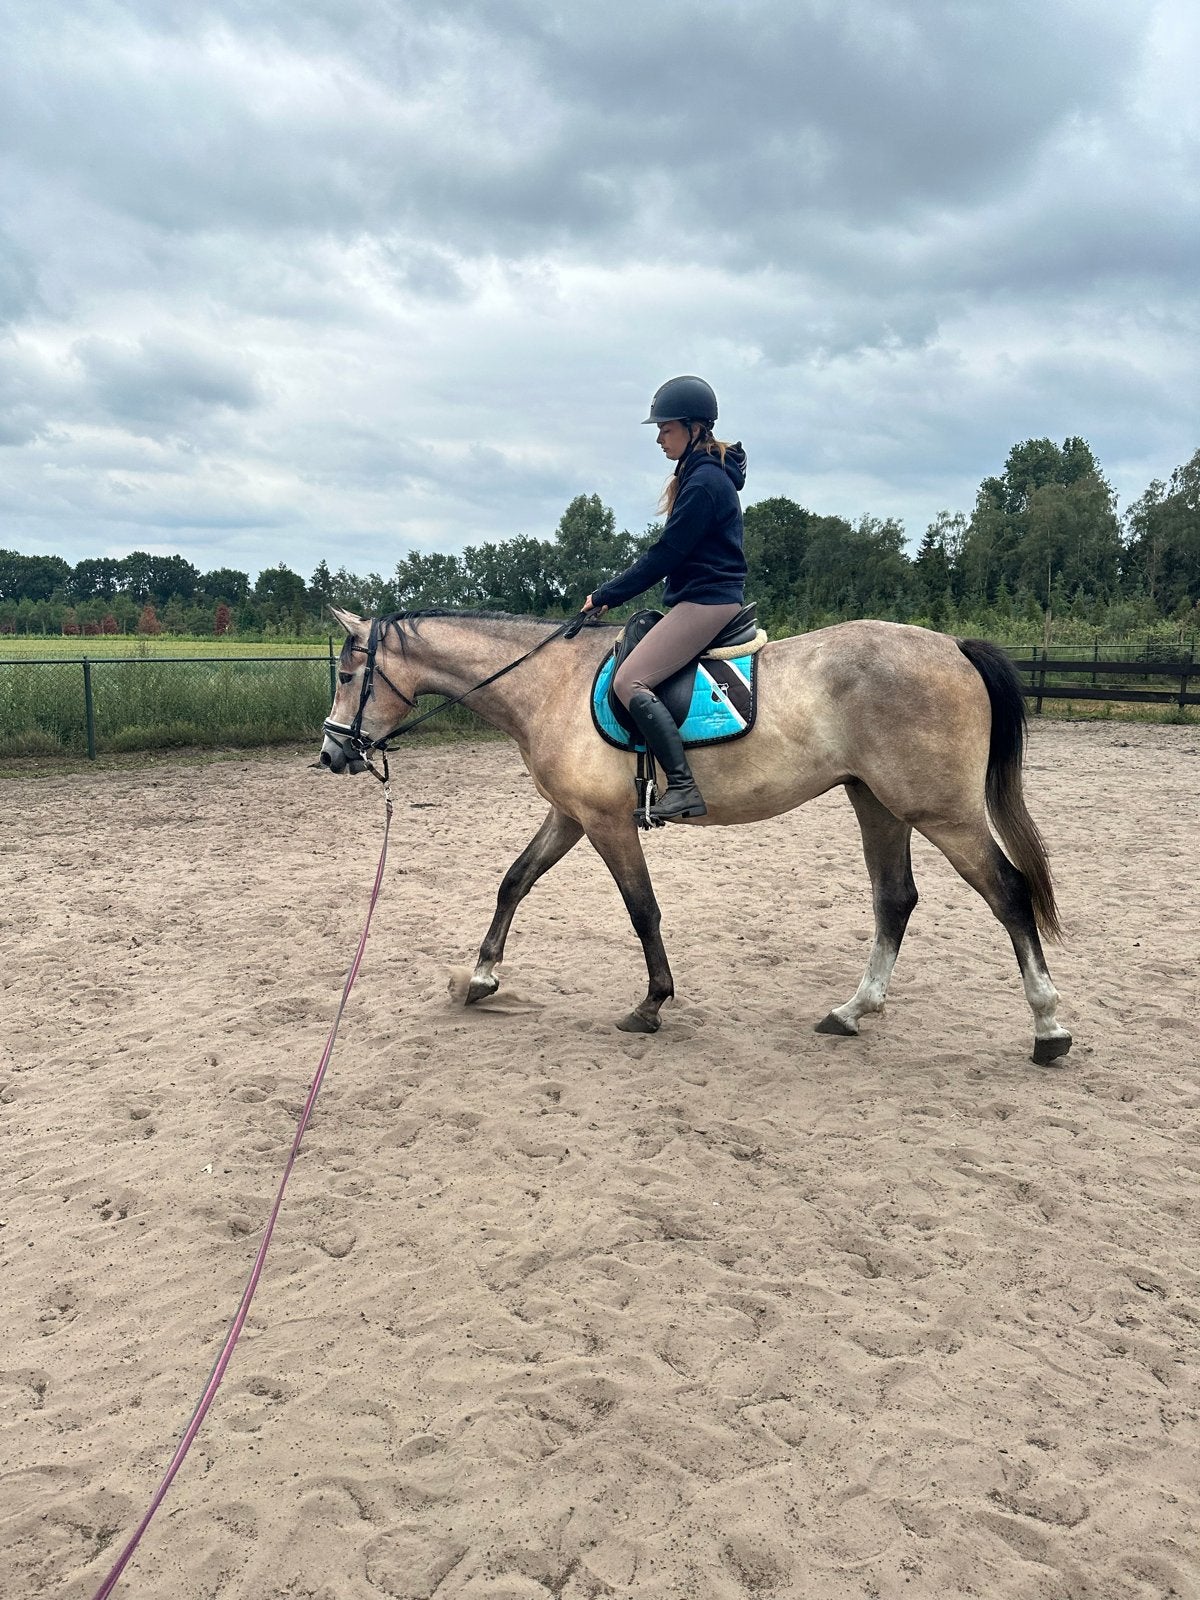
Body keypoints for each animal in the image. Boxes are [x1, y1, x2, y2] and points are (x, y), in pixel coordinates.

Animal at [319, 608, 1072, 1065]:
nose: (331, 754)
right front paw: (480, 976)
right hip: (878, 803)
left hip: (941, 812)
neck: (550, 683)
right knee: (896, 899)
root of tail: (953, 647)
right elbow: (514, 881)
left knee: (1008, 894)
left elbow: (642, 909)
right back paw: (853, 1011)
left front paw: (652, 1003)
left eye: (349, 674)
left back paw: (1049, 1028)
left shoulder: (606, 823)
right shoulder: (569, 816)